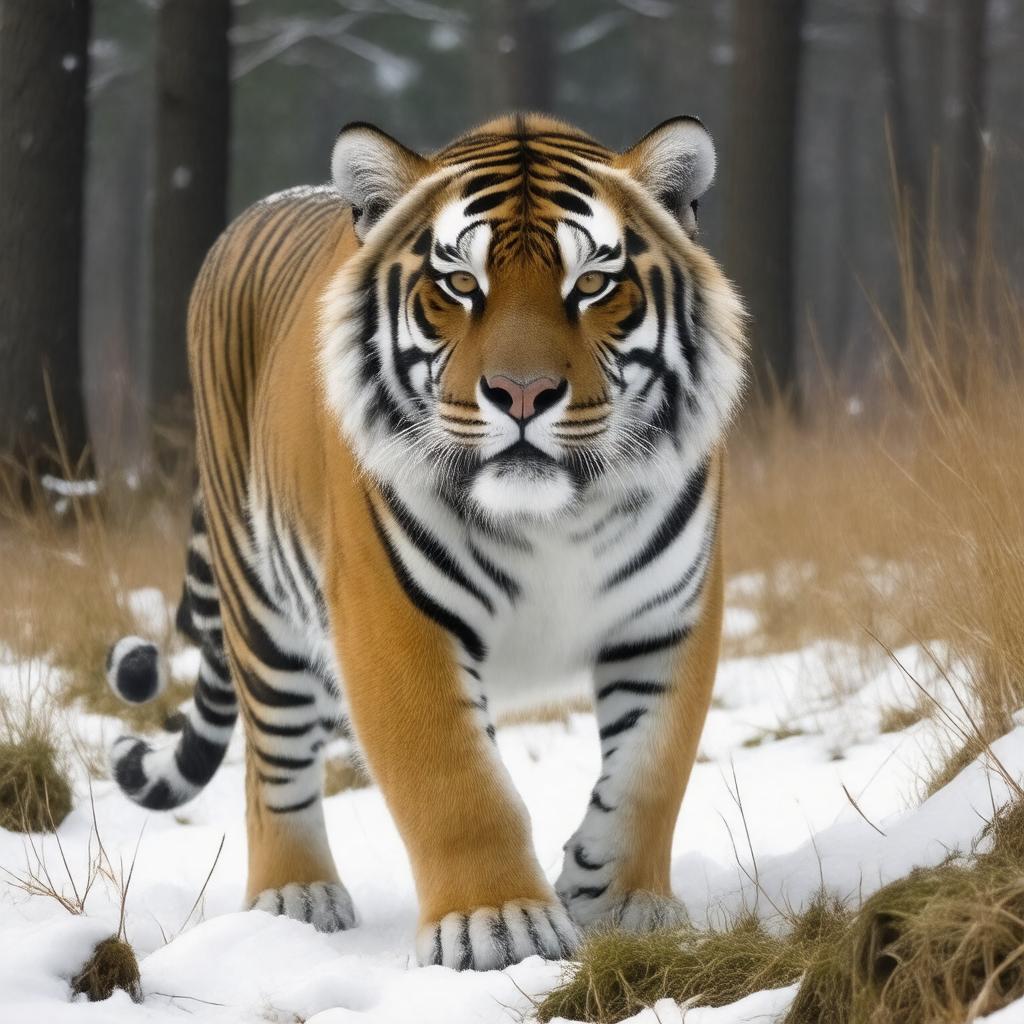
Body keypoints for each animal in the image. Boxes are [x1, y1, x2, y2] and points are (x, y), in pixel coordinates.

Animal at [105, 113, 746, 971]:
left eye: (592, 285)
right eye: (460, 286)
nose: (520, 393)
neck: (553, 517)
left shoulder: (670, 615)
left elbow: (653, 767)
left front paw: (621, 903)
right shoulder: (393, 617)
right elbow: (455, 779)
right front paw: (497, 925)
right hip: (259, 608)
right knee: (272, 762)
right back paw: (294, 898)